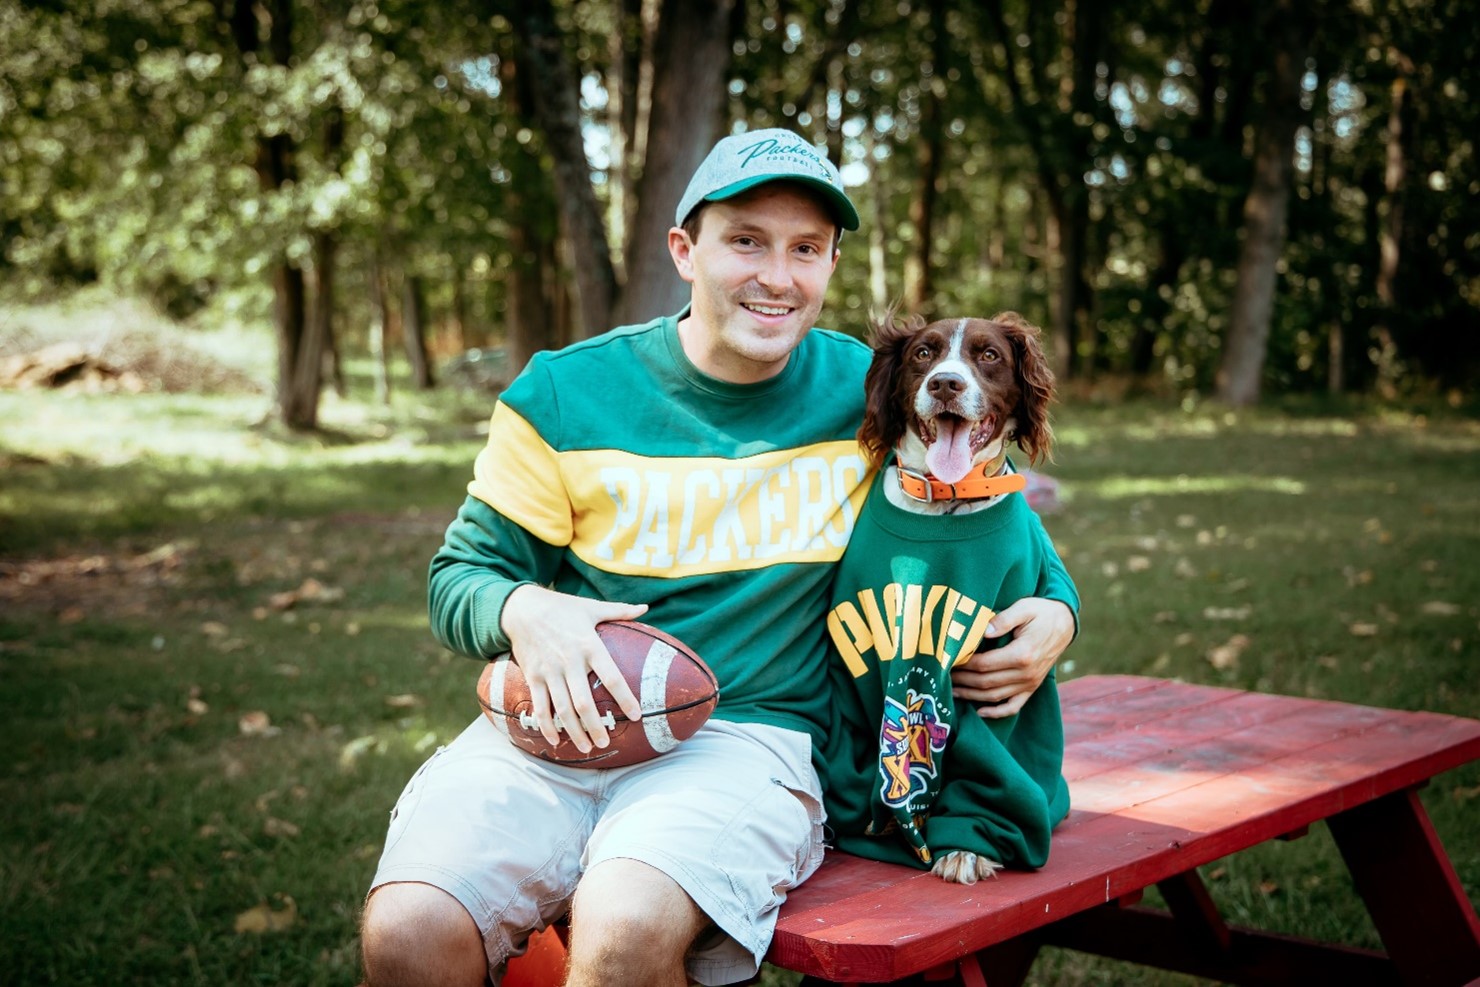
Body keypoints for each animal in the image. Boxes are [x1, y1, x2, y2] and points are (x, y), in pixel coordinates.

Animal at [834, 310, 1065, 887]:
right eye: (924, 353)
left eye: (989, 355)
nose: (945, 384)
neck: (947, 500)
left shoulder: (1000, 661)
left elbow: (989, 758)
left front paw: (969, 844)